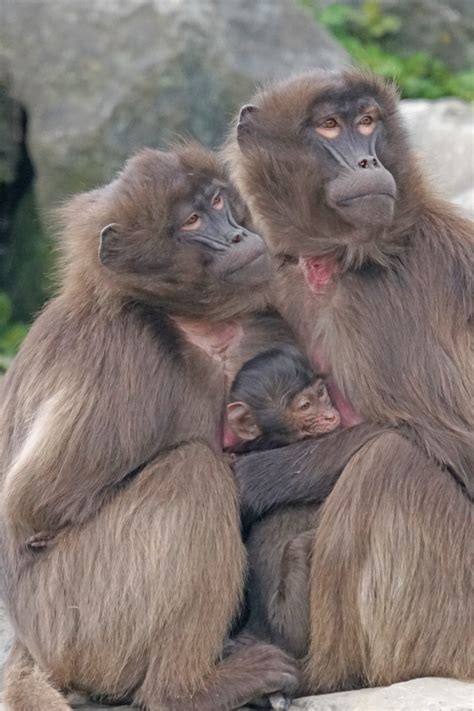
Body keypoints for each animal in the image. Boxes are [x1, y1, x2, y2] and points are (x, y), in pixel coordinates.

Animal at [0, 144, 309, 711]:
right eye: (191, 222)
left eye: (217, 201)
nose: (239, 236)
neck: (191, 323)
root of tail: (33, 643)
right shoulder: (120, 354)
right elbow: (37, 510)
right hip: (79, 622)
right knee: (193, 473)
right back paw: (186, 690)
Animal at [225, 69, 474, 692]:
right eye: (330, 126)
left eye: (367, 122)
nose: (367, 161)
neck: (336, 263)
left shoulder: (394, 302)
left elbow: (452, 443)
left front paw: (252, 480)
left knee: (389, 463)